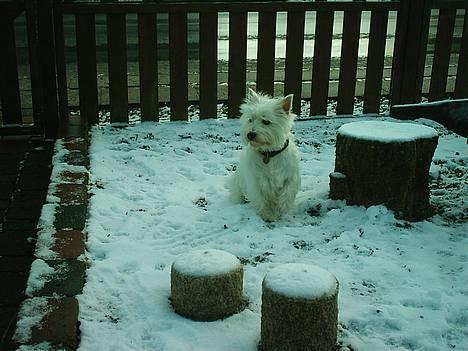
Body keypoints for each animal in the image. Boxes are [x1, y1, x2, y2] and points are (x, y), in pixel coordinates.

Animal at [229, 90, 302, 223]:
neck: (269, 153)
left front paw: (281, 211)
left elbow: (287, 194)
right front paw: (266, 215)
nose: (250, 134)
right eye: (250, 119)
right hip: (237, 184)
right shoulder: (256, 180)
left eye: (266, 121)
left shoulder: (290, 177)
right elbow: (261, 199)